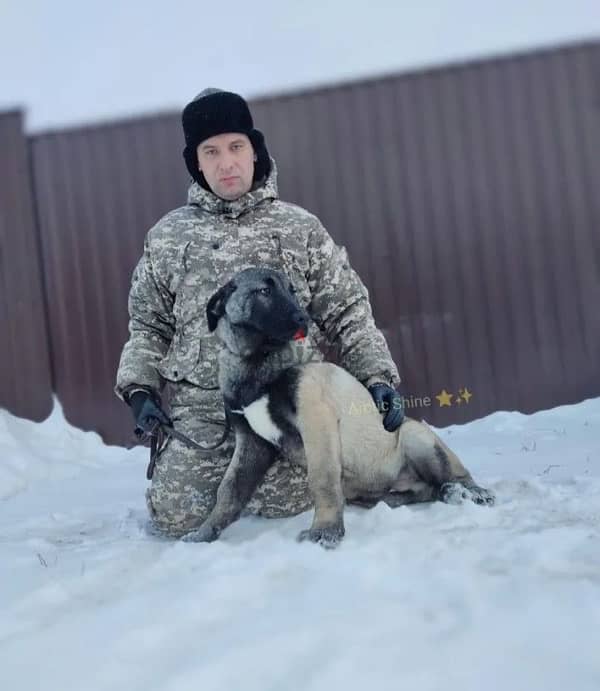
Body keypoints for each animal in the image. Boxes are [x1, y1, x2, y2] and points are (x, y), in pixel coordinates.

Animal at [185, 268, 494, 548]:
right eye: (263, 291)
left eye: (292, 290)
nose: (303, 318)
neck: (257, 361)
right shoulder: (252, 442)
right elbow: (229, 489)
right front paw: (205, 532)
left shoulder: (316, 421)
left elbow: (322, 477)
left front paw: (326, 530)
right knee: (427, 490)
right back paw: (437, 493)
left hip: (414, 435)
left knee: (453, 474)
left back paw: (470, 492)